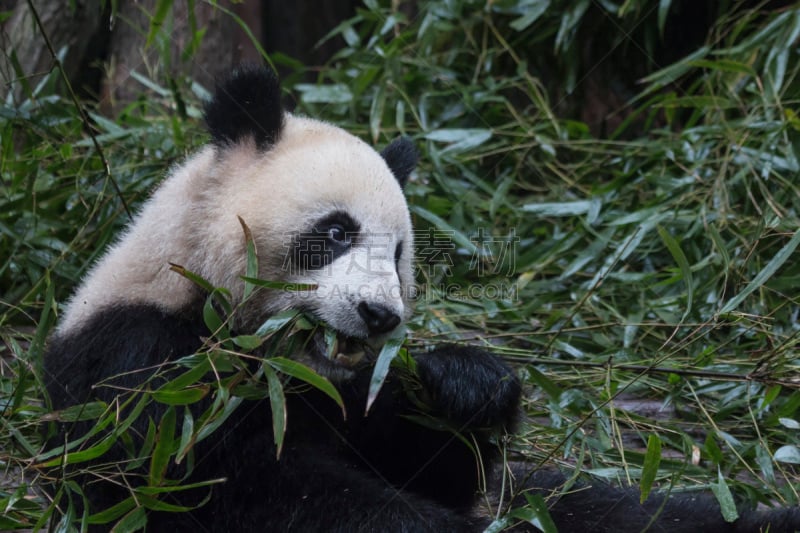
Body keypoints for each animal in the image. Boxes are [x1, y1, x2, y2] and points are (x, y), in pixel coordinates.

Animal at [45, 64, 800, 528]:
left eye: (402, 252)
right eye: (337, 230)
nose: (380, 315)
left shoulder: (347, 391)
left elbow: (433, 462)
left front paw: (465, 384)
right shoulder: (142, 358)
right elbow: (219, 484)